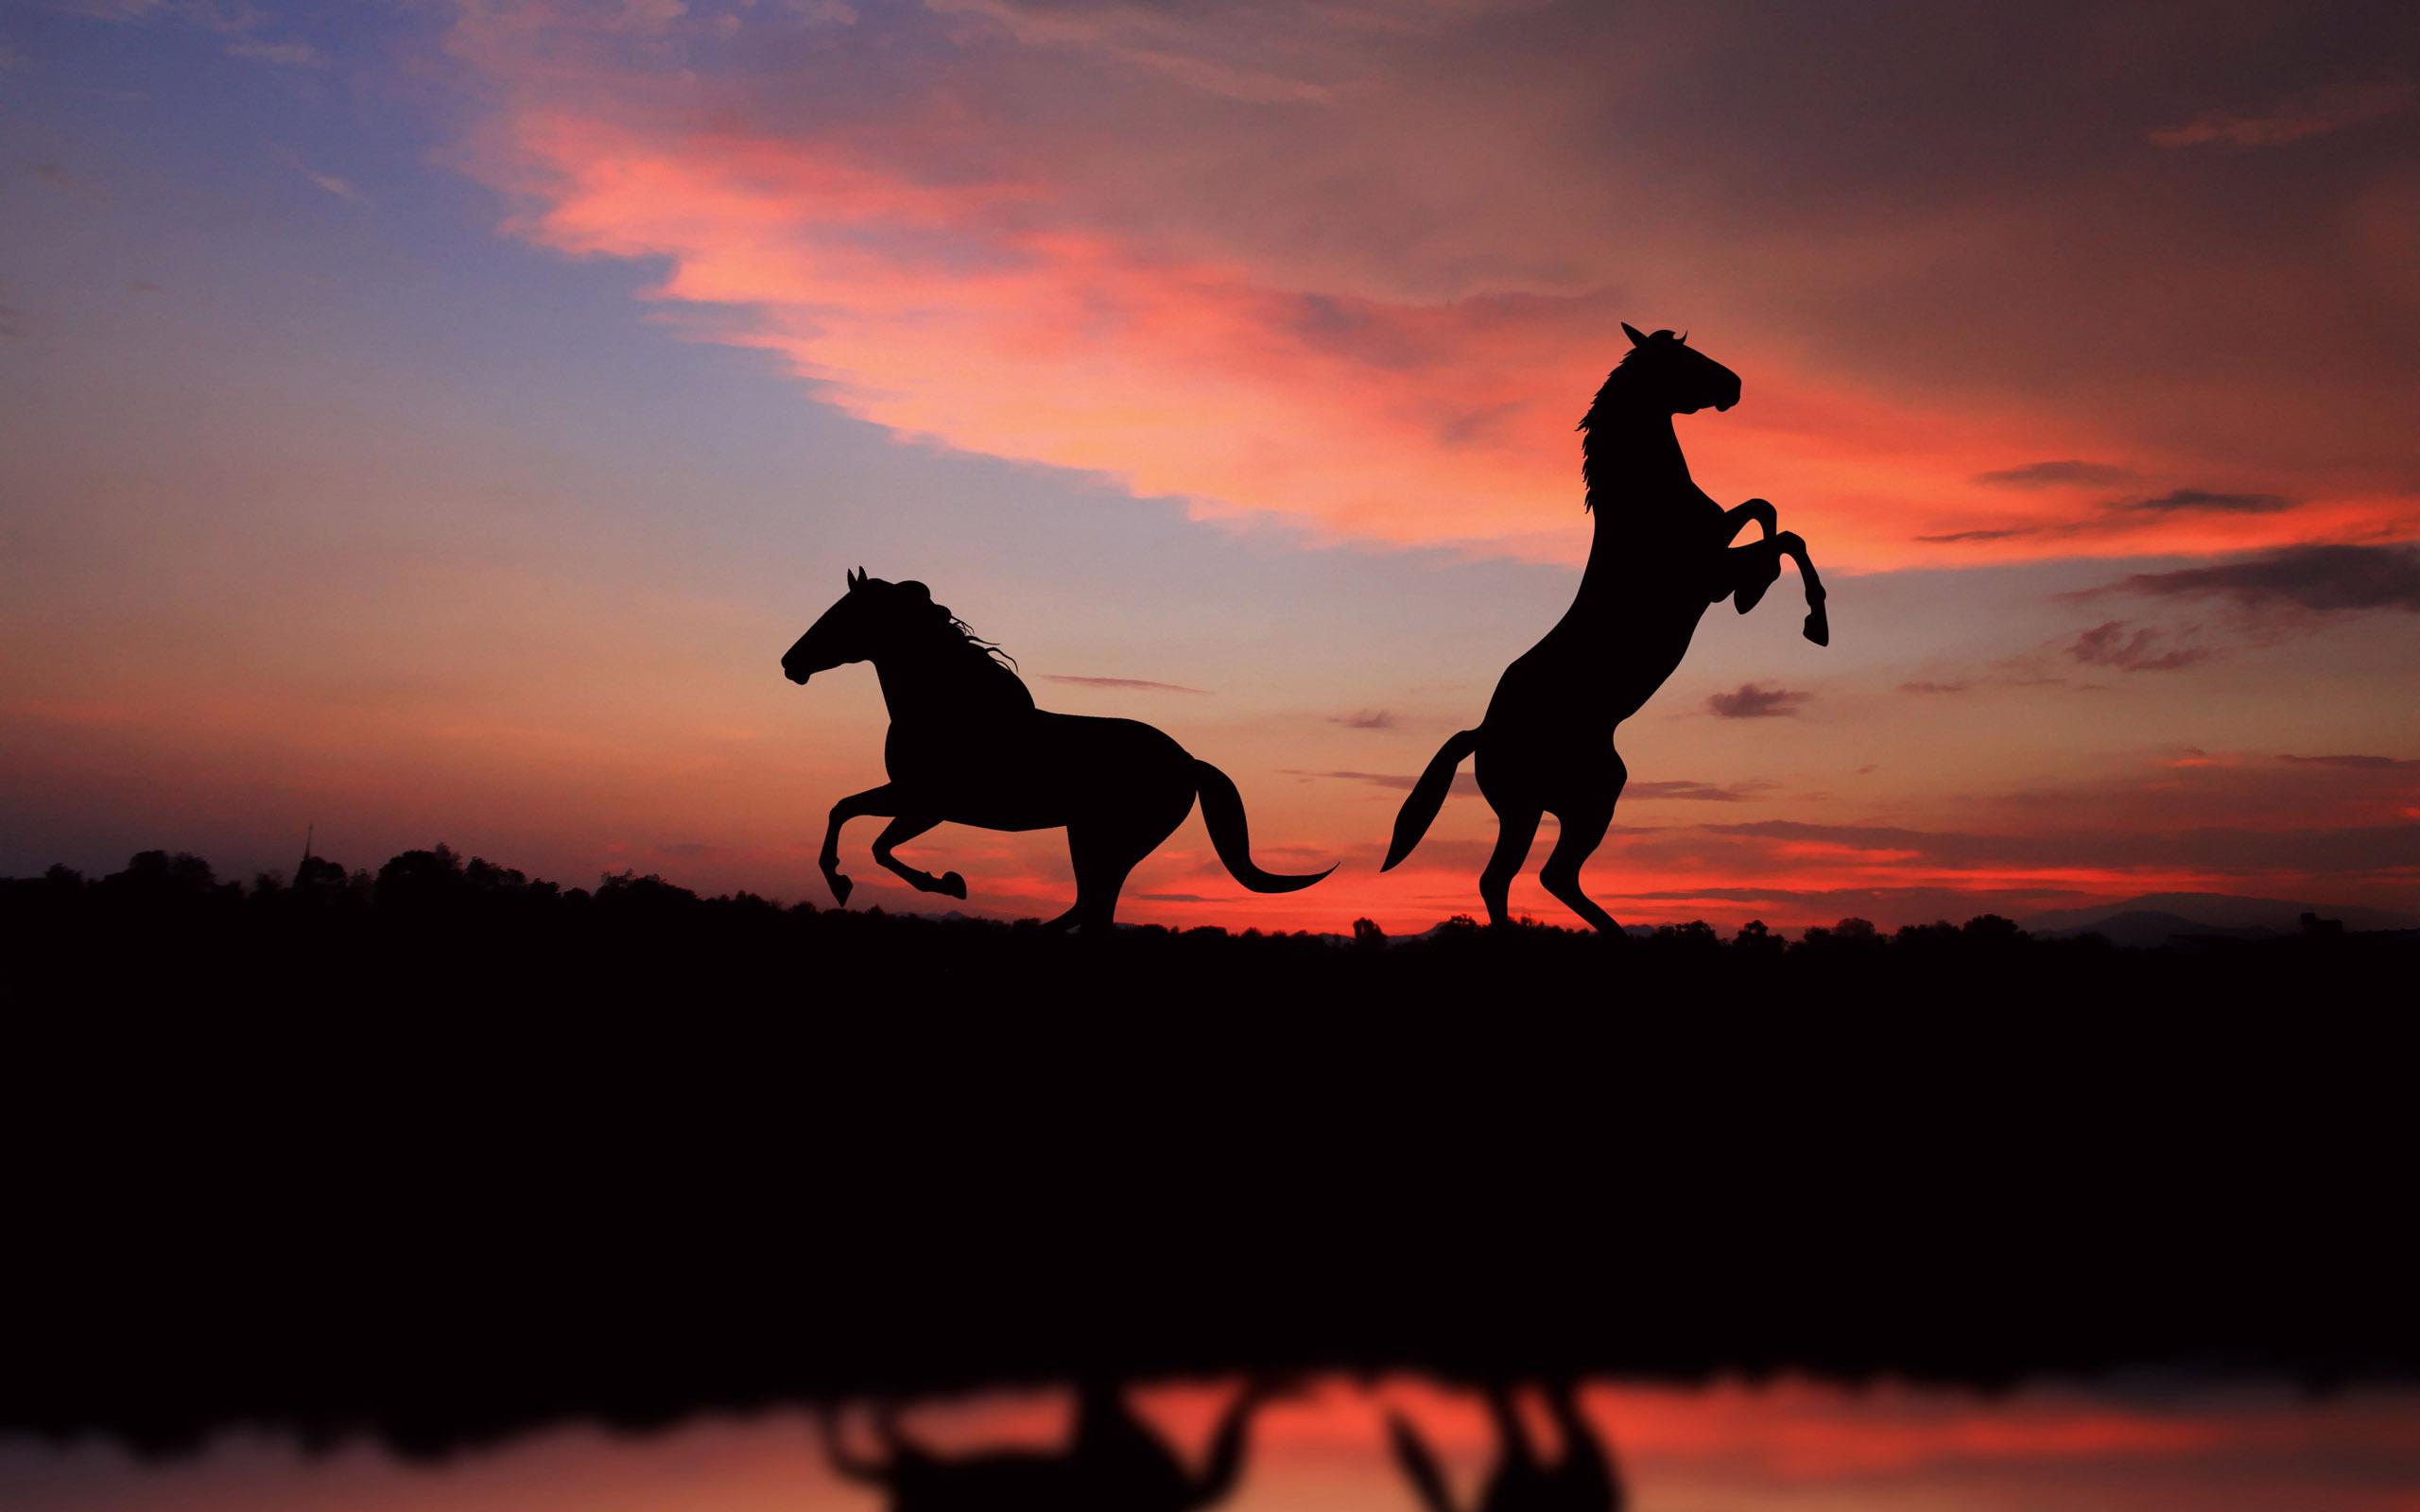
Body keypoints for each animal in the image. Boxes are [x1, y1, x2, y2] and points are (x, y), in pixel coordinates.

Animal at [784, 571, 1336, 923]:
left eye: (843, 615)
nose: (791, 663)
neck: (949, 706)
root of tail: (1188, 762)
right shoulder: (909, 795)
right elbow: (843, 810)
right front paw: (841, 882)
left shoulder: (929, 803)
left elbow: (877, 844)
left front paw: (947, 882)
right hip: (1092, 838)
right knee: (1092, 909)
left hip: (1107, 839)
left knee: (1092, 908)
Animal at [1384, 324, 1820, 923]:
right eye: (1681, 357)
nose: (1734, 386)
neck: (1646, 500)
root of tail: (1483, 733)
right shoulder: (1706, 573)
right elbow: (1780, 535)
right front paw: (1803, 615)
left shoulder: (1715, 549)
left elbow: (1766, 512)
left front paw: (1760, 596)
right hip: (1554, 803)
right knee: (1521, 877)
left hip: (1571, 798)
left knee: (1534, 877)